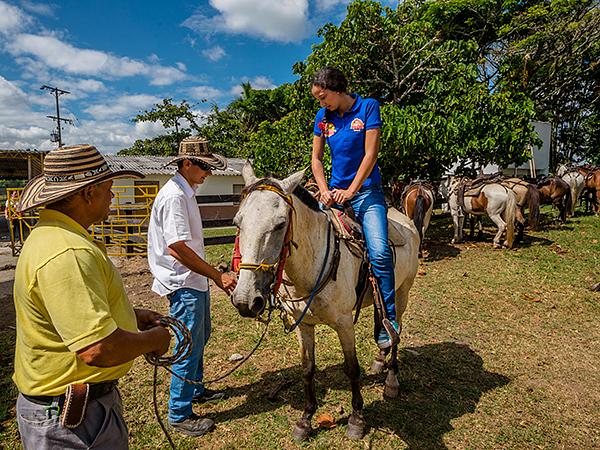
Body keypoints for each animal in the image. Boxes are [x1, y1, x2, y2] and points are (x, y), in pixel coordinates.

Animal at [232, 163, 420, 442]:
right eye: (237, 222)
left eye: (280, 224)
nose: (246, 300)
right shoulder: (303, 325)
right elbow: (308, 368)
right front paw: (305, 420)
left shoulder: (344, 324)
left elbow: (352, 368)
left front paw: (356, 419)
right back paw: (380, 359)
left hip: (402, 293)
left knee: (395, 329)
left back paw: (392, 380)